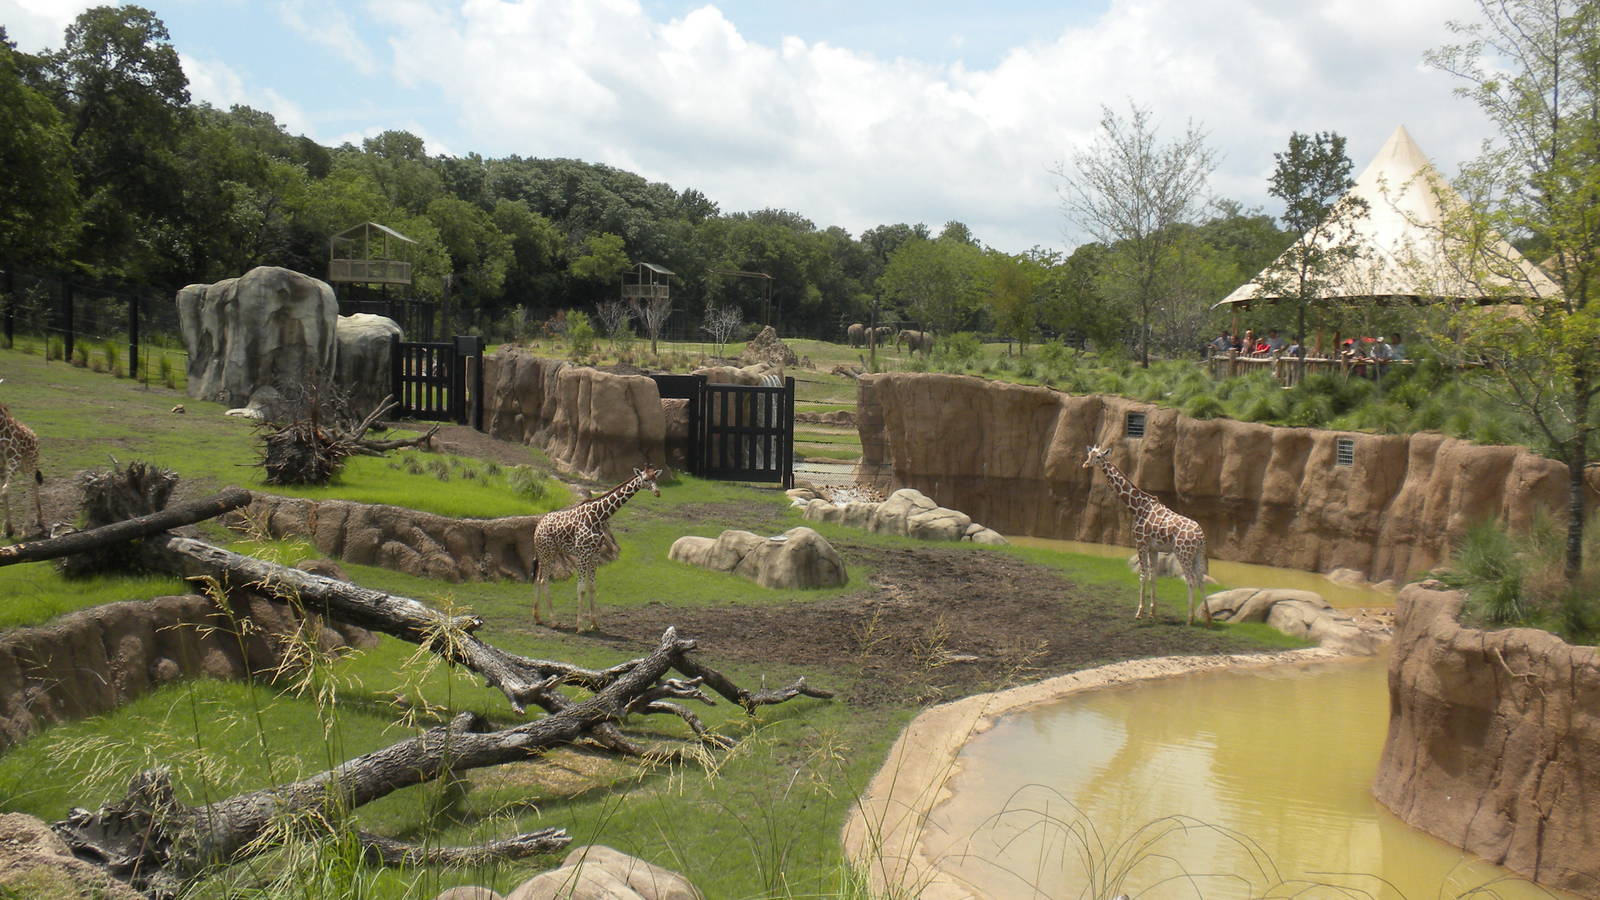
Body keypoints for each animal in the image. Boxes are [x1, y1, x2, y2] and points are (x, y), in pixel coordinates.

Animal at [0, 382, 44, 540]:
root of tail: (36, 437)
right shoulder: (2, 463)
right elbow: (3, 491)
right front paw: (7, 529)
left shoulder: (14, 459)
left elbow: (4, 491)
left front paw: (10, 528)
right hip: (24, 466)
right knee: (33, 482)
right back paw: (39, 519)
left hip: (30, 462)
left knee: (29, 485)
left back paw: (26, 530)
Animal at [531, 465, 661, 631]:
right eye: (645, 479)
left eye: (655, 478)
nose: (657, 492)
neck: (599, 517)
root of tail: (538, 526)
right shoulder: (582, 554)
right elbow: (581, 588)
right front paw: (580, 626)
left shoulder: (595, 554)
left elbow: (592, 587)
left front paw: (594, 624)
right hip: (547, 553)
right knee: (544, 581)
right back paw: (554, 621)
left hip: (548, 553)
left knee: (538, 579)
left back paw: (538, 618)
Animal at [1082, 445, 1211, 625]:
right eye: (1089, 454)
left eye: (1099, 457)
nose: (1085, 464)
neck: (1138, 507)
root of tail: (1200, 536)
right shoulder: (1153, 549)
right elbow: (1153, 577)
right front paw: (1152, 613)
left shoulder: (1140, 544)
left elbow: (1143, 576)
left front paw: (1139, 612)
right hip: (1198, 554)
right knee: (1200, 579)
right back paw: (1208, 617)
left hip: (1183, 553)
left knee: (1191, 580)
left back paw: (1190, 619)